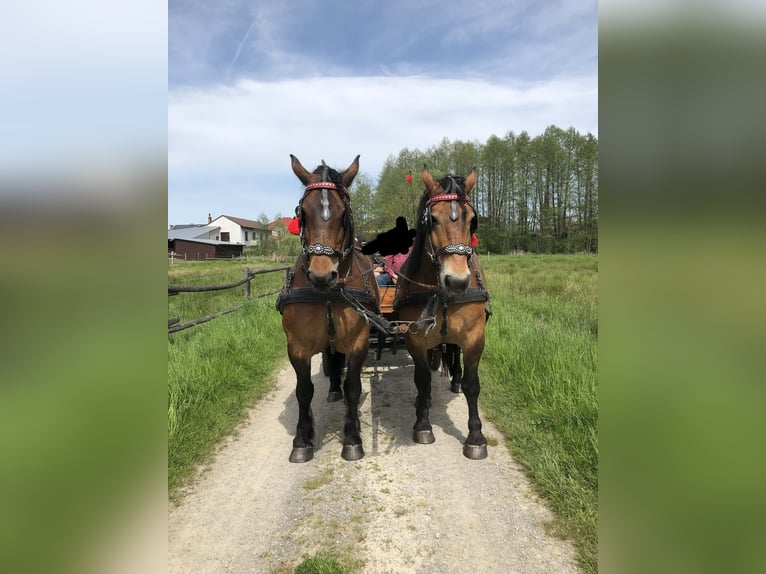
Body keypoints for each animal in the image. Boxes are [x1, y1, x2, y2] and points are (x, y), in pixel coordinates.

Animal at [280, 155, 380, 466]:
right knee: (331, 357)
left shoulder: (359, 342)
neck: (328, 294)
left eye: (343, 214)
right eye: (302, 212)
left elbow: (354, 387)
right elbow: (304, 391)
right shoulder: (297, 346)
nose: (322, 275)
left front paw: (352, 437)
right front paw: (302, 440)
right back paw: (333, 388)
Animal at [396, 165, 492, 460]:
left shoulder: (474, 338)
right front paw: (423, 424)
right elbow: (422, 380)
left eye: (472, 220)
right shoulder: (416, 339)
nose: (457, 281)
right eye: (433, 220)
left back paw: (455, 379)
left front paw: (475, 437)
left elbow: (473, 385)